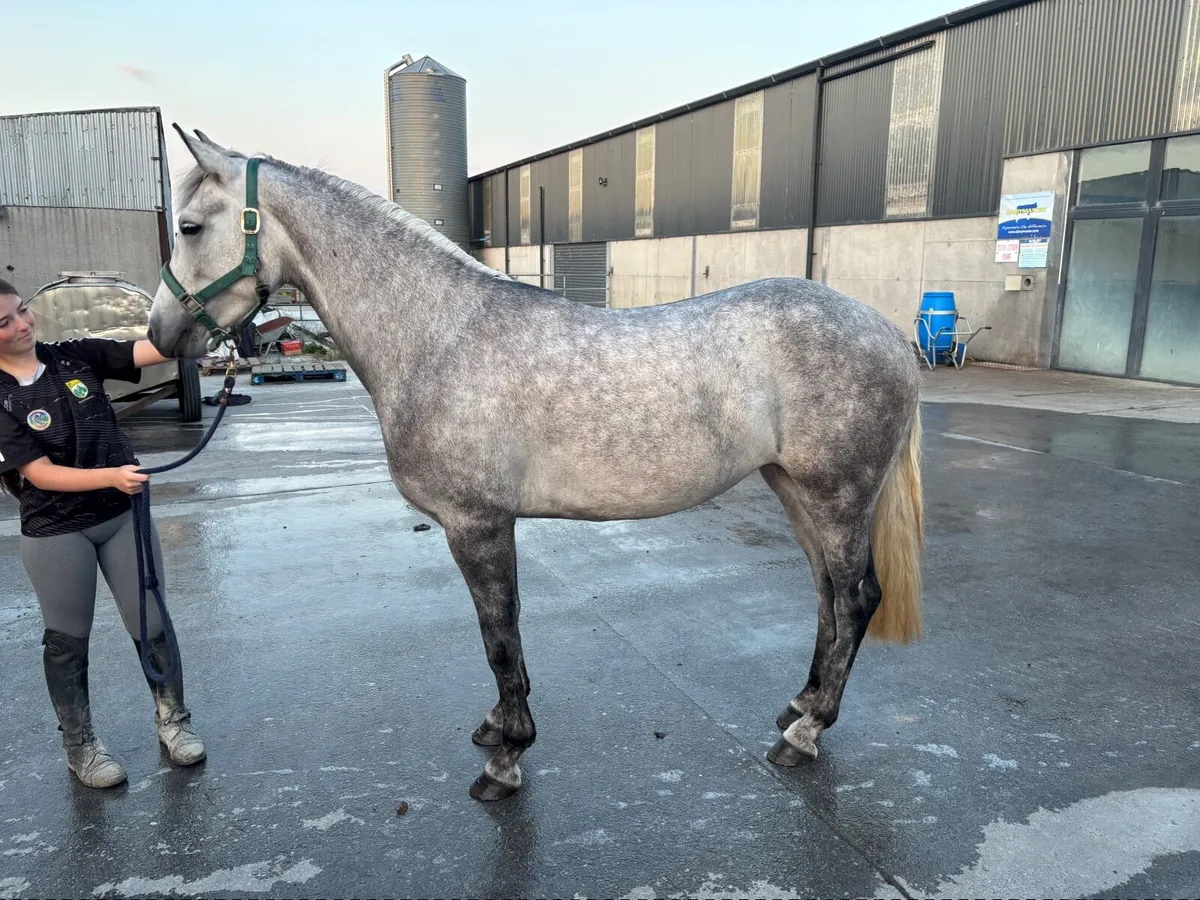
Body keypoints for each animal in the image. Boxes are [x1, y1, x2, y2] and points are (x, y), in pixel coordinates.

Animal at [146, 126, 925, 802]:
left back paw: (807, 733)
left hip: (838, 495)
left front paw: (507, 759)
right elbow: (505, 633)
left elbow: (498, 635)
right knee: (827, 594)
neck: (438, 336)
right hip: (794, 488)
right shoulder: (487, 525)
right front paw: (500, 729)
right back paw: (799, 704)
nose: (161, 333)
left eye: (190, 226)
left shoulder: (477, 523)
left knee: (856, 598)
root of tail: (888, 331)